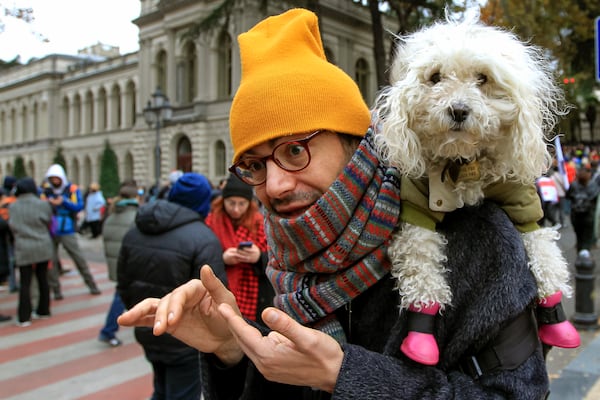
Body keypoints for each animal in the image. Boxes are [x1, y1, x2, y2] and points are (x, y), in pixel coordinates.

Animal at [372, 14, 580, 366]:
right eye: (435, 77)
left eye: (483, 78)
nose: (458, 110)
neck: (463, 162)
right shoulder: (417, 205)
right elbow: (420, 265)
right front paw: (420, 336)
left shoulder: (521, 199)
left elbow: (542, 249)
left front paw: (556, 318)